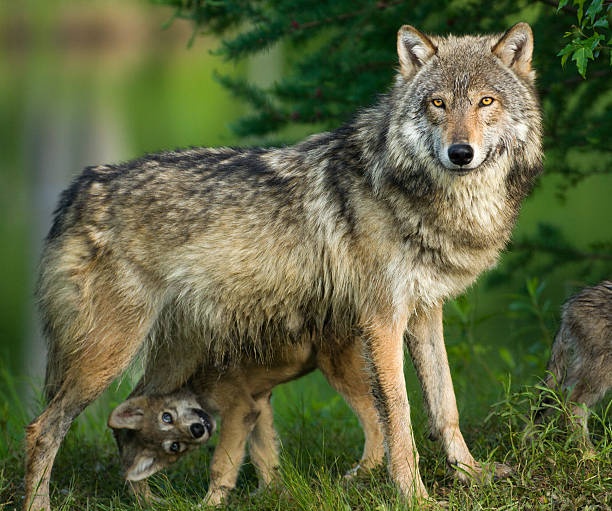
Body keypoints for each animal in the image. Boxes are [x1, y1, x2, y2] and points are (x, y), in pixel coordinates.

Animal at [23, 22, 540, 510]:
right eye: (438, 103)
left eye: (486, 101)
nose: (460, 153)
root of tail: (79, 187)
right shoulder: (382, 321)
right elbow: (400, 416)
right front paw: (413, 495)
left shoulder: (425, 312)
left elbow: (445, 406)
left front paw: (472, 474)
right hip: (108, 354)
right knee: (44, 427)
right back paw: (42, 503)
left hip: (172, 355)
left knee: (129, 419)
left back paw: (149, 501)